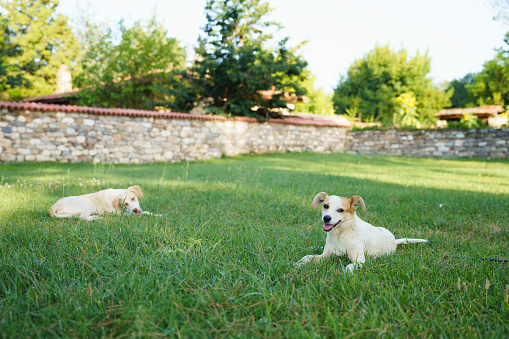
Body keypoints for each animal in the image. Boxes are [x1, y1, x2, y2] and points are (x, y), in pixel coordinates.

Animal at [296, 194, 426, 274]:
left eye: (340, 210)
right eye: (325, 206)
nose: (326, 218)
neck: (341, 235)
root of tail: (394, 240)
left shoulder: (359, 260)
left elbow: (349, 266)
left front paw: (346, 273)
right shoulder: (326, 254)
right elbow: (308, 257)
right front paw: (298, 263)